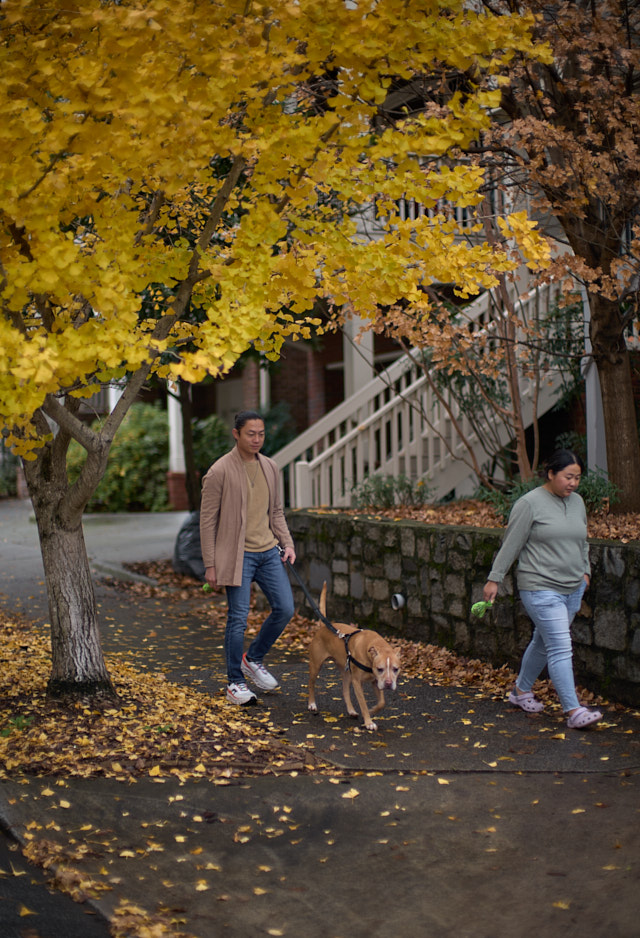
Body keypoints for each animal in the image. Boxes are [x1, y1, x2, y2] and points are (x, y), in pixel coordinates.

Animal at [306, 580, 400, 728]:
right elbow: (363, 703)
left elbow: (382, 703)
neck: (374, 646)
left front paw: (373, 710)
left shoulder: (376, 681)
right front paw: (368, 722)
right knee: (311, 683)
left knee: (345, 690)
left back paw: (351, 710)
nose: (389, 683)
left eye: (396, 669)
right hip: (316, 666)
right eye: (380, 669)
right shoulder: (357, 682)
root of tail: (324, 627)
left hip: (346, 672)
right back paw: (312, 704)